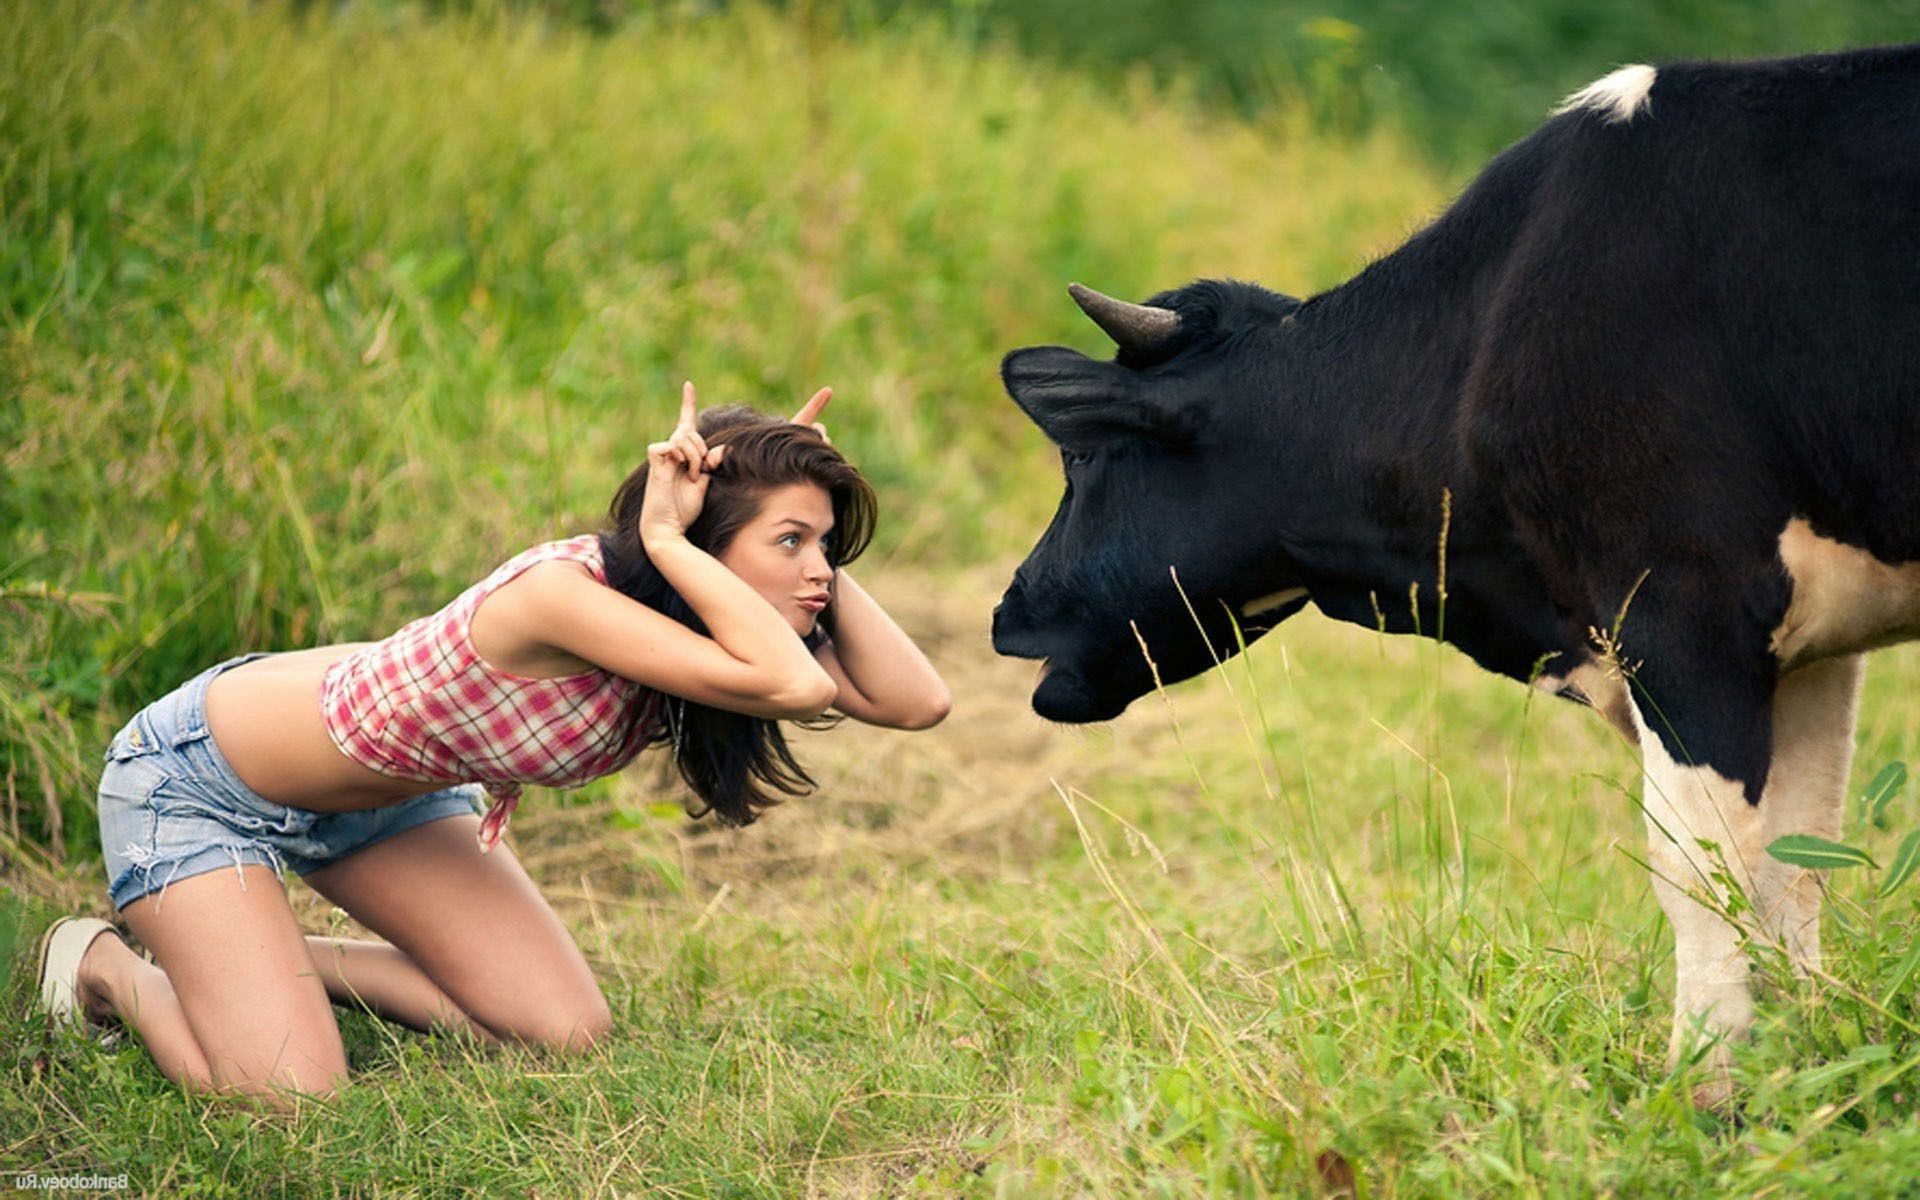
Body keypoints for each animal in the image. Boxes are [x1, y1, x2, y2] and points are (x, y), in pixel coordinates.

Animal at [990, 42, 1920, 1090]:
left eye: (1079, 457)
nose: (1007, 610)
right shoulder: (1809, 646)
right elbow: (1796, 860)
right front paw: (1802, 1060)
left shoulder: (1686, 608)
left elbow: (1699, 867)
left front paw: (1707, 1083)